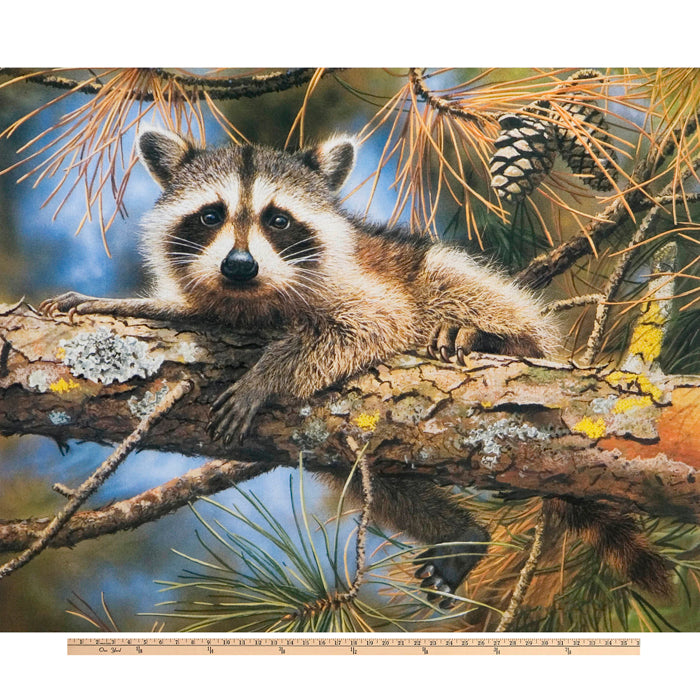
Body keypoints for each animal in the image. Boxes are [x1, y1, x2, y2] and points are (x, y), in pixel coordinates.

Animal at [40, 128, 669, 605]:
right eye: (211, 215)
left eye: (278, 220)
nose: (239, 265)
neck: (250, 296)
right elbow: (179, 309)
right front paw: (115, 304)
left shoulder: (360, 284)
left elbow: (371, 322)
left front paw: (268, 374)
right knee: (371, 478)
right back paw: (459, 533)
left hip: (447, 280)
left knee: (456, 281)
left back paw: (495, 335)